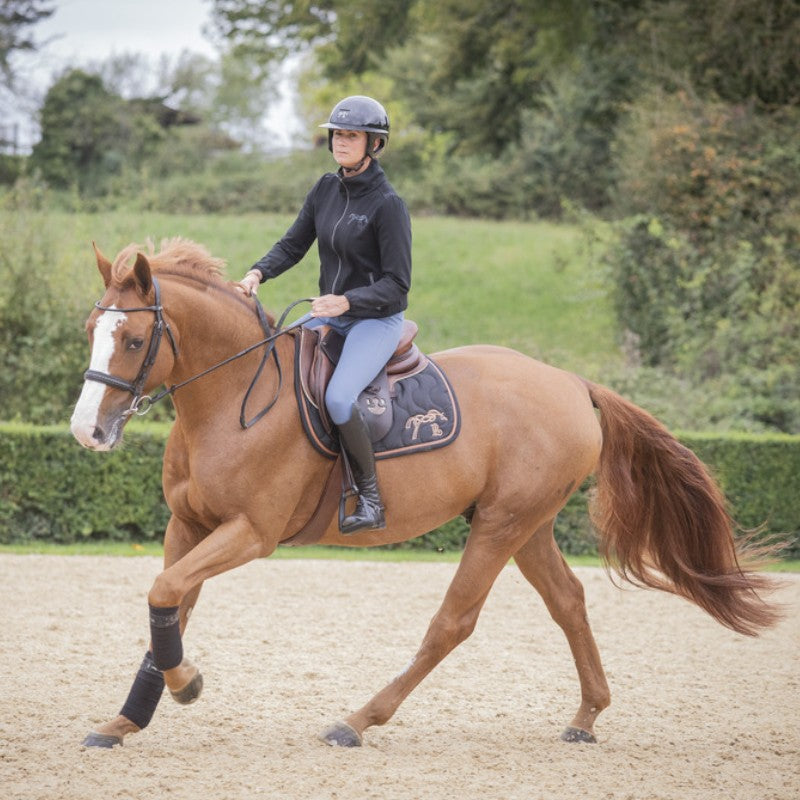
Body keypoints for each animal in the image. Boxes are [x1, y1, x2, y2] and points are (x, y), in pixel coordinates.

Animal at [70, 237, 781, 749]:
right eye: (90, 331)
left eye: (134, 339)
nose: (86, 431)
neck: (232, 399)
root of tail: (573, 384)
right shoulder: (188, 527)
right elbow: (169, 606)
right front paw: (126, 719)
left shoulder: (250, 533)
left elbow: (167, 593)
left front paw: (186, 684)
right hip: (526, 526)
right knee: (568, 603)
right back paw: (586, 717)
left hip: (499, 526)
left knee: (453, 623)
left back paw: (357, 720)